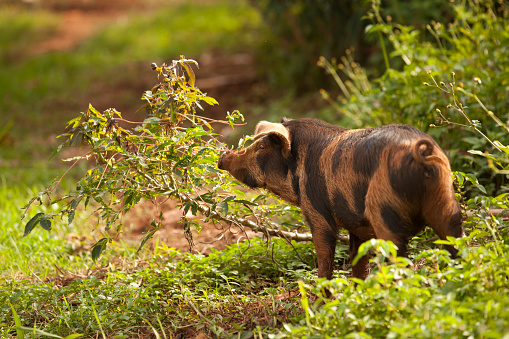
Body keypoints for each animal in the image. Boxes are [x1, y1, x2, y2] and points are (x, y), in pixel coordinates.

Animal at [216, 118, 462, 280]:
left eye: (262, 146)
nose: (223, 156)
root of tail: (421, 152)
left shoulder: (316, 210)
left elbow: (325, 256)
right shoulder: (358, 226)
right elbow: (358, 260)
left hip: (385, 211)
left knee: (398, 258)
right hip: (445, 201)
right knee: (456, 243)